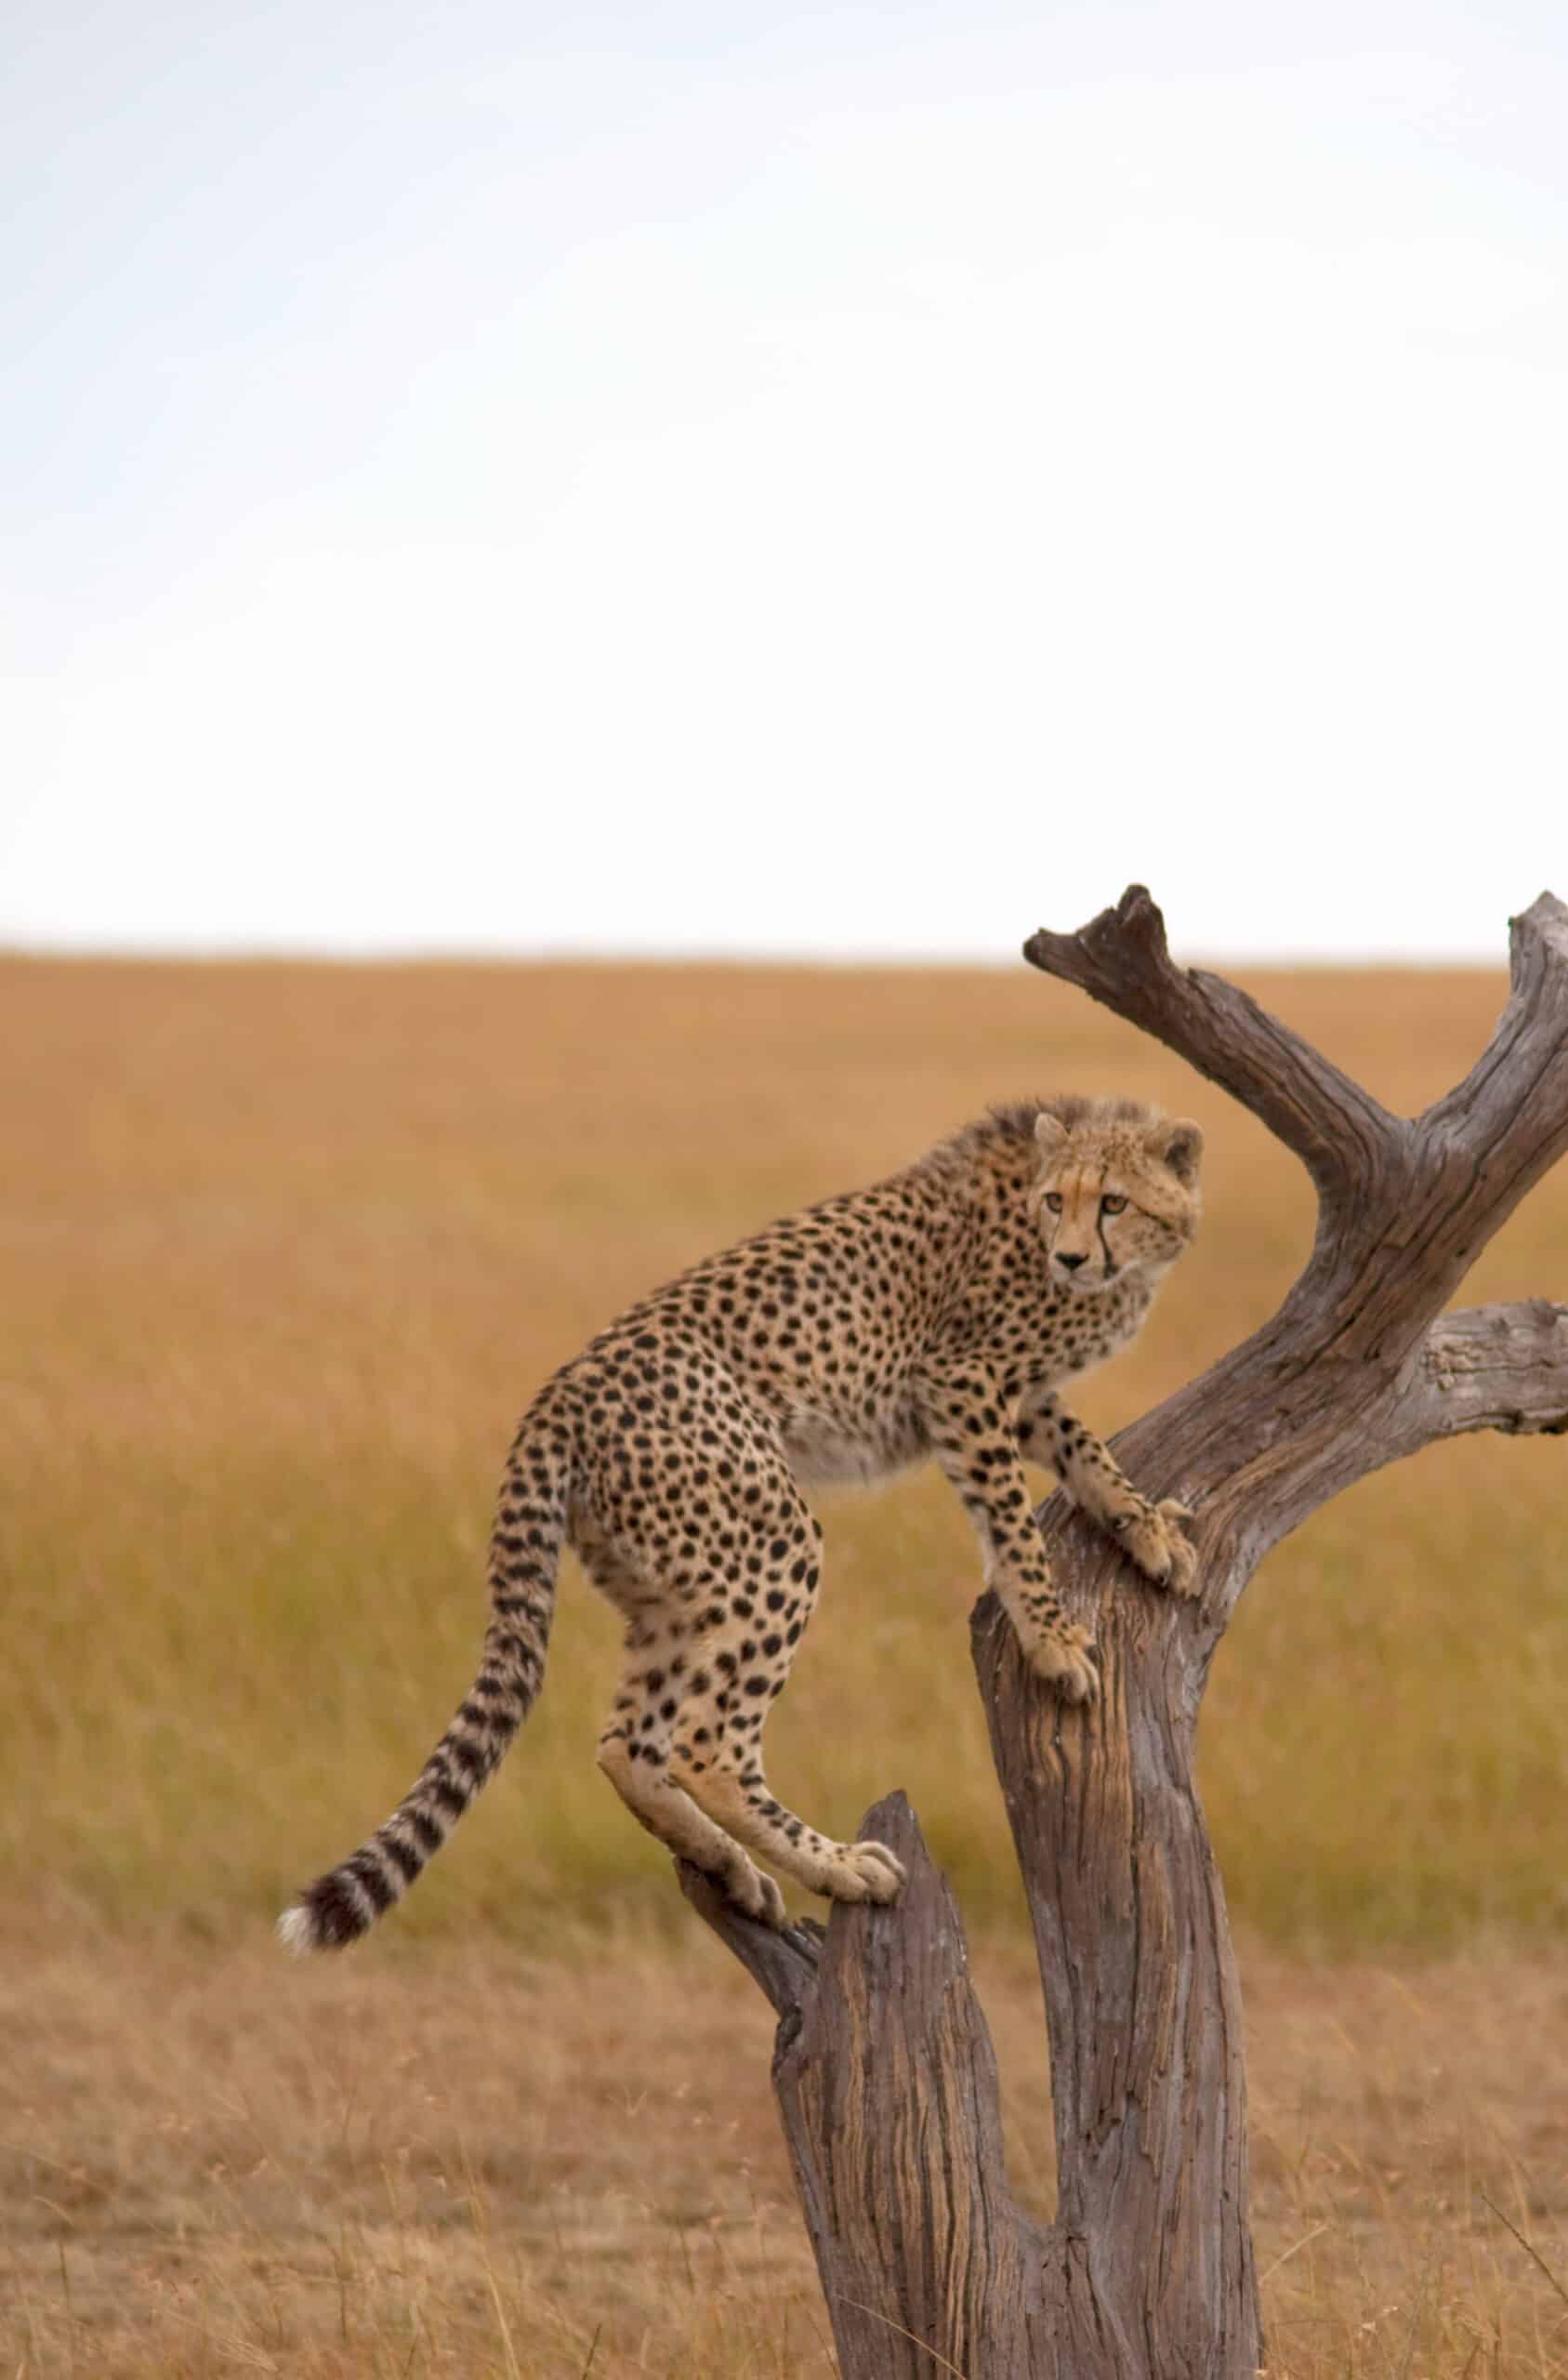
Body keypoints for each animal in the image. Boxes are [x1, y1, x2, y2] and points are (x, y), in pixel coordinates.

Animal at [278, 1093, 1203, 1949]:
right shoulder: (960, 1380)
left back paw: (731, 1867)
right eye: (1056, 1201)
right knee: (706, 1746)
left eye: (1111, 1201)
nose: (1071, 1255)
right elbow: (1010, 1520)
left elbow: (1083, 1448)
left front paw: (1147, 1530)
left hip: (669, 1586)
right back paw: (837, 1865)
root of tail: (553, 1399)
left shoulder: (1015, 1393)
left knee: (627, 1744)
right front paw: (1054, 1641)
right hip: (770, 1541)